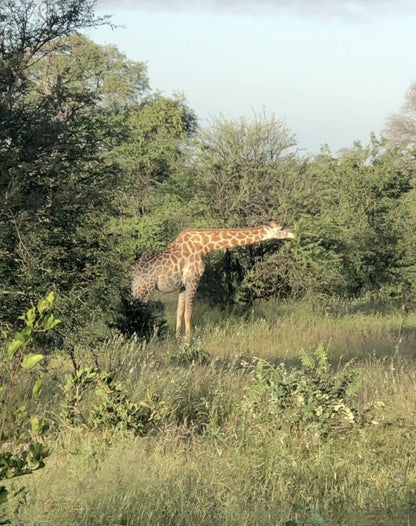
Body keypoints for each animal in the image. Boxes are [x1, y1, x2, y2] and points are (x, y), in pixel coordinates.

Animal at [132, 221, 298, 340]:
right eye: (282, 228)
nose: (294, 234)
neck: (204, 246)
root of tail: (133, 274)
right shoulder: (193, 279)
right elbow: (189, 312)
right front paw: (188, 339)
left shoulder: (183, 285)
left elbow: (179, 312)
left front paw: (178, 337)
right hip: (145, 289)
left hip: (137, 290)